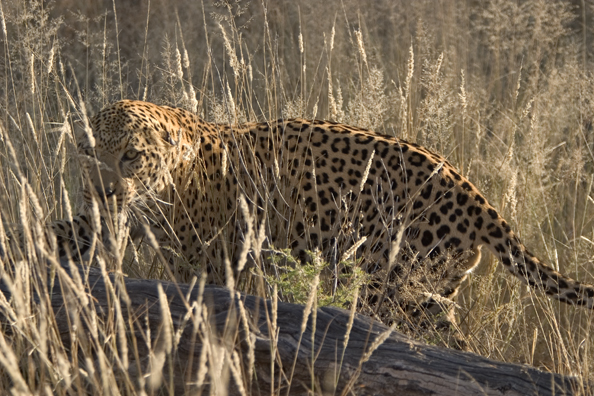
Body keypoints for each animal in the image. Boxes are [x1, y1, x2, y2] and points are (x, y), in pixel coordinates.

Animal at [34, 98, 592, 322]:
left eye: (131, 155)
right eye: (89, 154)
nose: (104, 190)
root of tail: (472, 191)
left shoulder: (209, 263)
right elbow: (66, 232)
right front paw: (35, 250)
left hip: (394, 288)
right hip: (426, 292)